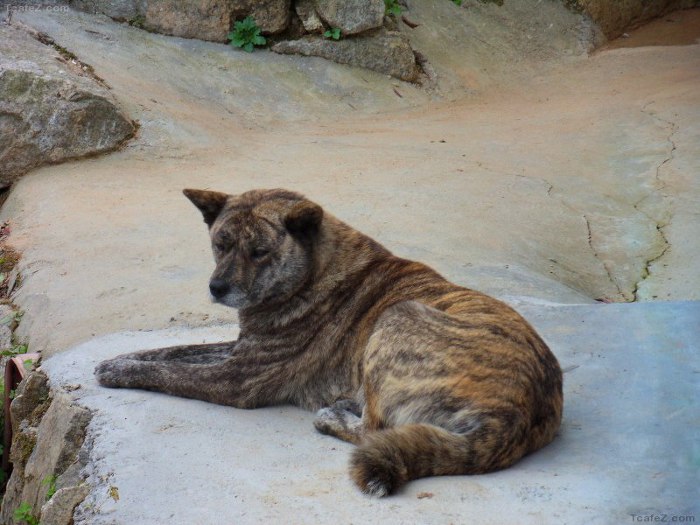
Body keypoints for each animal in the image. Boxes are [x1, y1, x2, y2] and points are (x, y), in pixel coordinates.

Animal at [94, 188, 564, 496]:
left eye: (259, 252)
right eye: (220, 244)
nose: (217, 288)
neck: (314, 271)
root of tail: (519, 414)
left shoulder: (237, 380)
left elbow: (168, 371)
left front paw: (119, 371)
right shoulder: (240, 350)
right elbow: (169, 352)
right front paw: (119, 358)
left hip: (398, 315)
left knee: (376, 430)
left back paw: (333, 416)